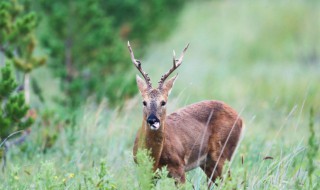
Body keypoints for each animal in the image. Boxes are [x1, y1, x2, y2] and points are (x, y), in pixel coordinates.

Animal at [129, 41, 244, 186]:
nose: (152, 120)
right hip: (208, 163)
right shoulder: (145, 173)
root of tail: (240, 119)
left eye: (163, 102)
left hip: (223, 154)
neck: (154, 158)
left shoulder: (179, 168)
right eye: (144, 102)